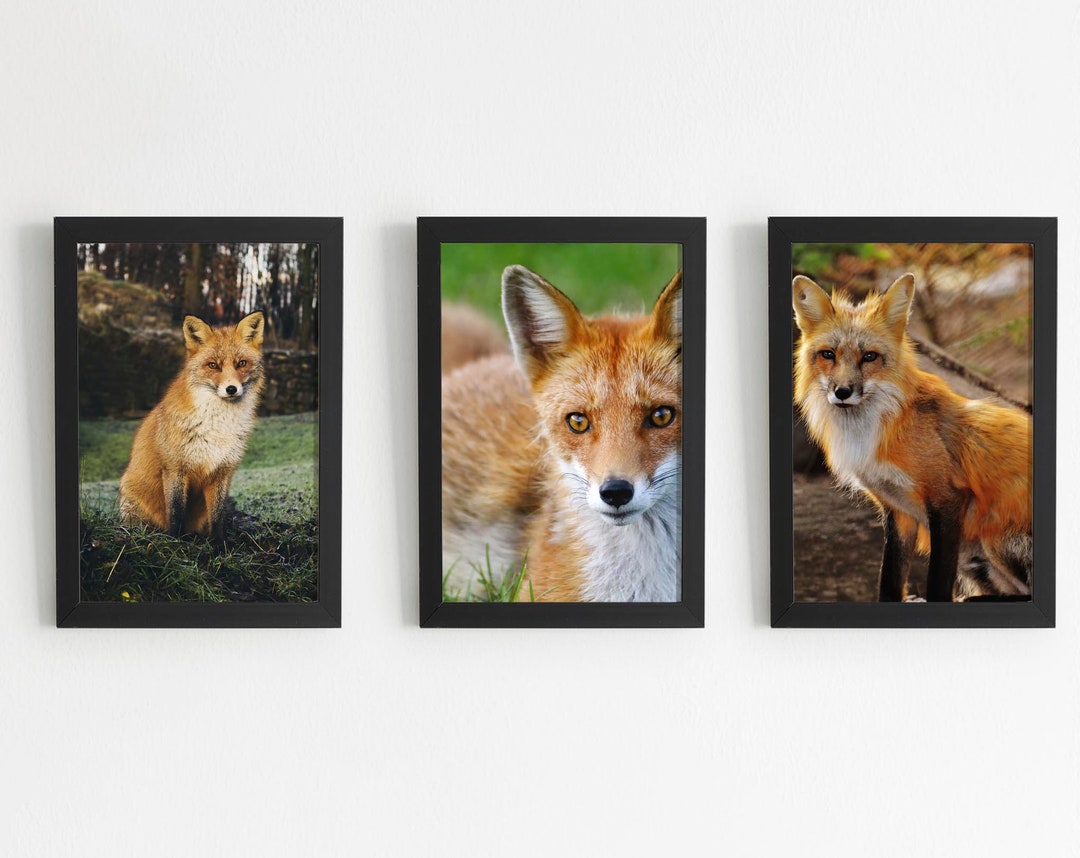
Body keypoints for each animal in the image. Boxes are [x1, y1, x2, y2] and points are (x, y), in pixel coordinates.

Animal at [118, 311, 266, 540]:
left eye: (241, 363)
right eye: (213, 365)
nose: (231, 389)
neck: (217, 426)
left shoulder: (222, 471)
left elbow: (218, 517)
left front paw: (219, 544)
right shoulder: (174, 469)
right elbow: (176, 513)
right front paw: (176, 542)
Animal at [792, 273, 1032, 602]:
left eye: (869, 357)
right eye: (828, 354)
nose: (842, 392)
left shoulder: (947, 499)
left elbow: (938, 583)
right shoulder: (896, 510)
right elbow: (889, 579)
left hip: (994, 539)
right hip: (973, 556)